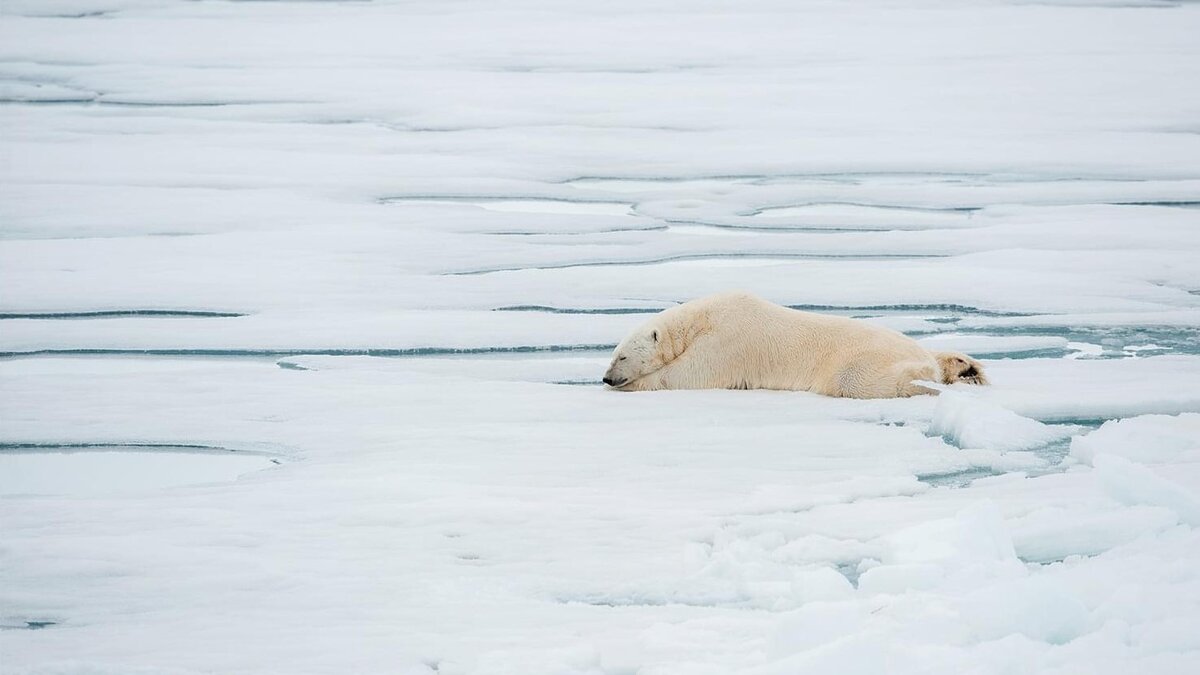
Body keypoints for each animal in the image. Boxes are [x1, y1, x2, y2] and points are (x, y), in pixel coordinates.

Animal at [604, 290, 988, 396]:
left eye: (621, 357)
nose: (606, 377)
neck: (701, 318)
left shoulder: (727, 342)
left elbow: (688, 374)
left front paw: (635, 385)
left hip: (862, 358)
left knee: (859, 380)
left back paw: (929, 380)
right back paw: (965, 368)